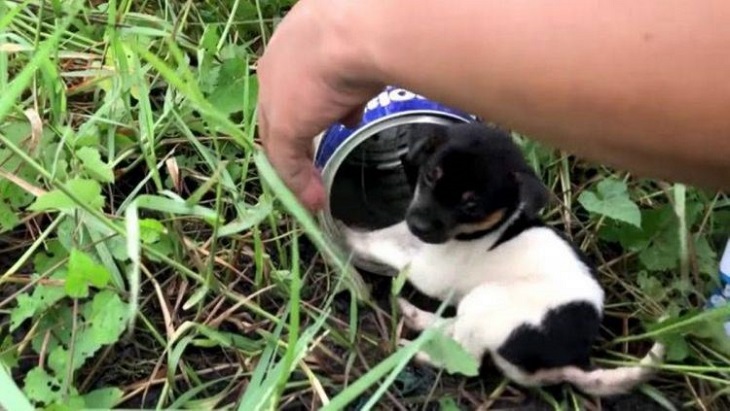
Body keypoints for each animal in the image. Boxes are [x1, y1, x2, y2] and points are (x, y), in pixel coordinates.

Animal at [338, 123, 664, 400]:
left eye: (471, 205)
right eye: (431, 175)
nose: (419, 226)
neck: (474, 234)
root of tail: (575, 361)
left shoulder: (430, 271)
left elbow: (385, 248)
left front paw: (349, 239)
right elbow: (388, 236)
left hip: (488, 300)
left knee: (466, 359)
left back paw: (416, 352)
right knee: (455, 332)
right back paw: (415, 317)